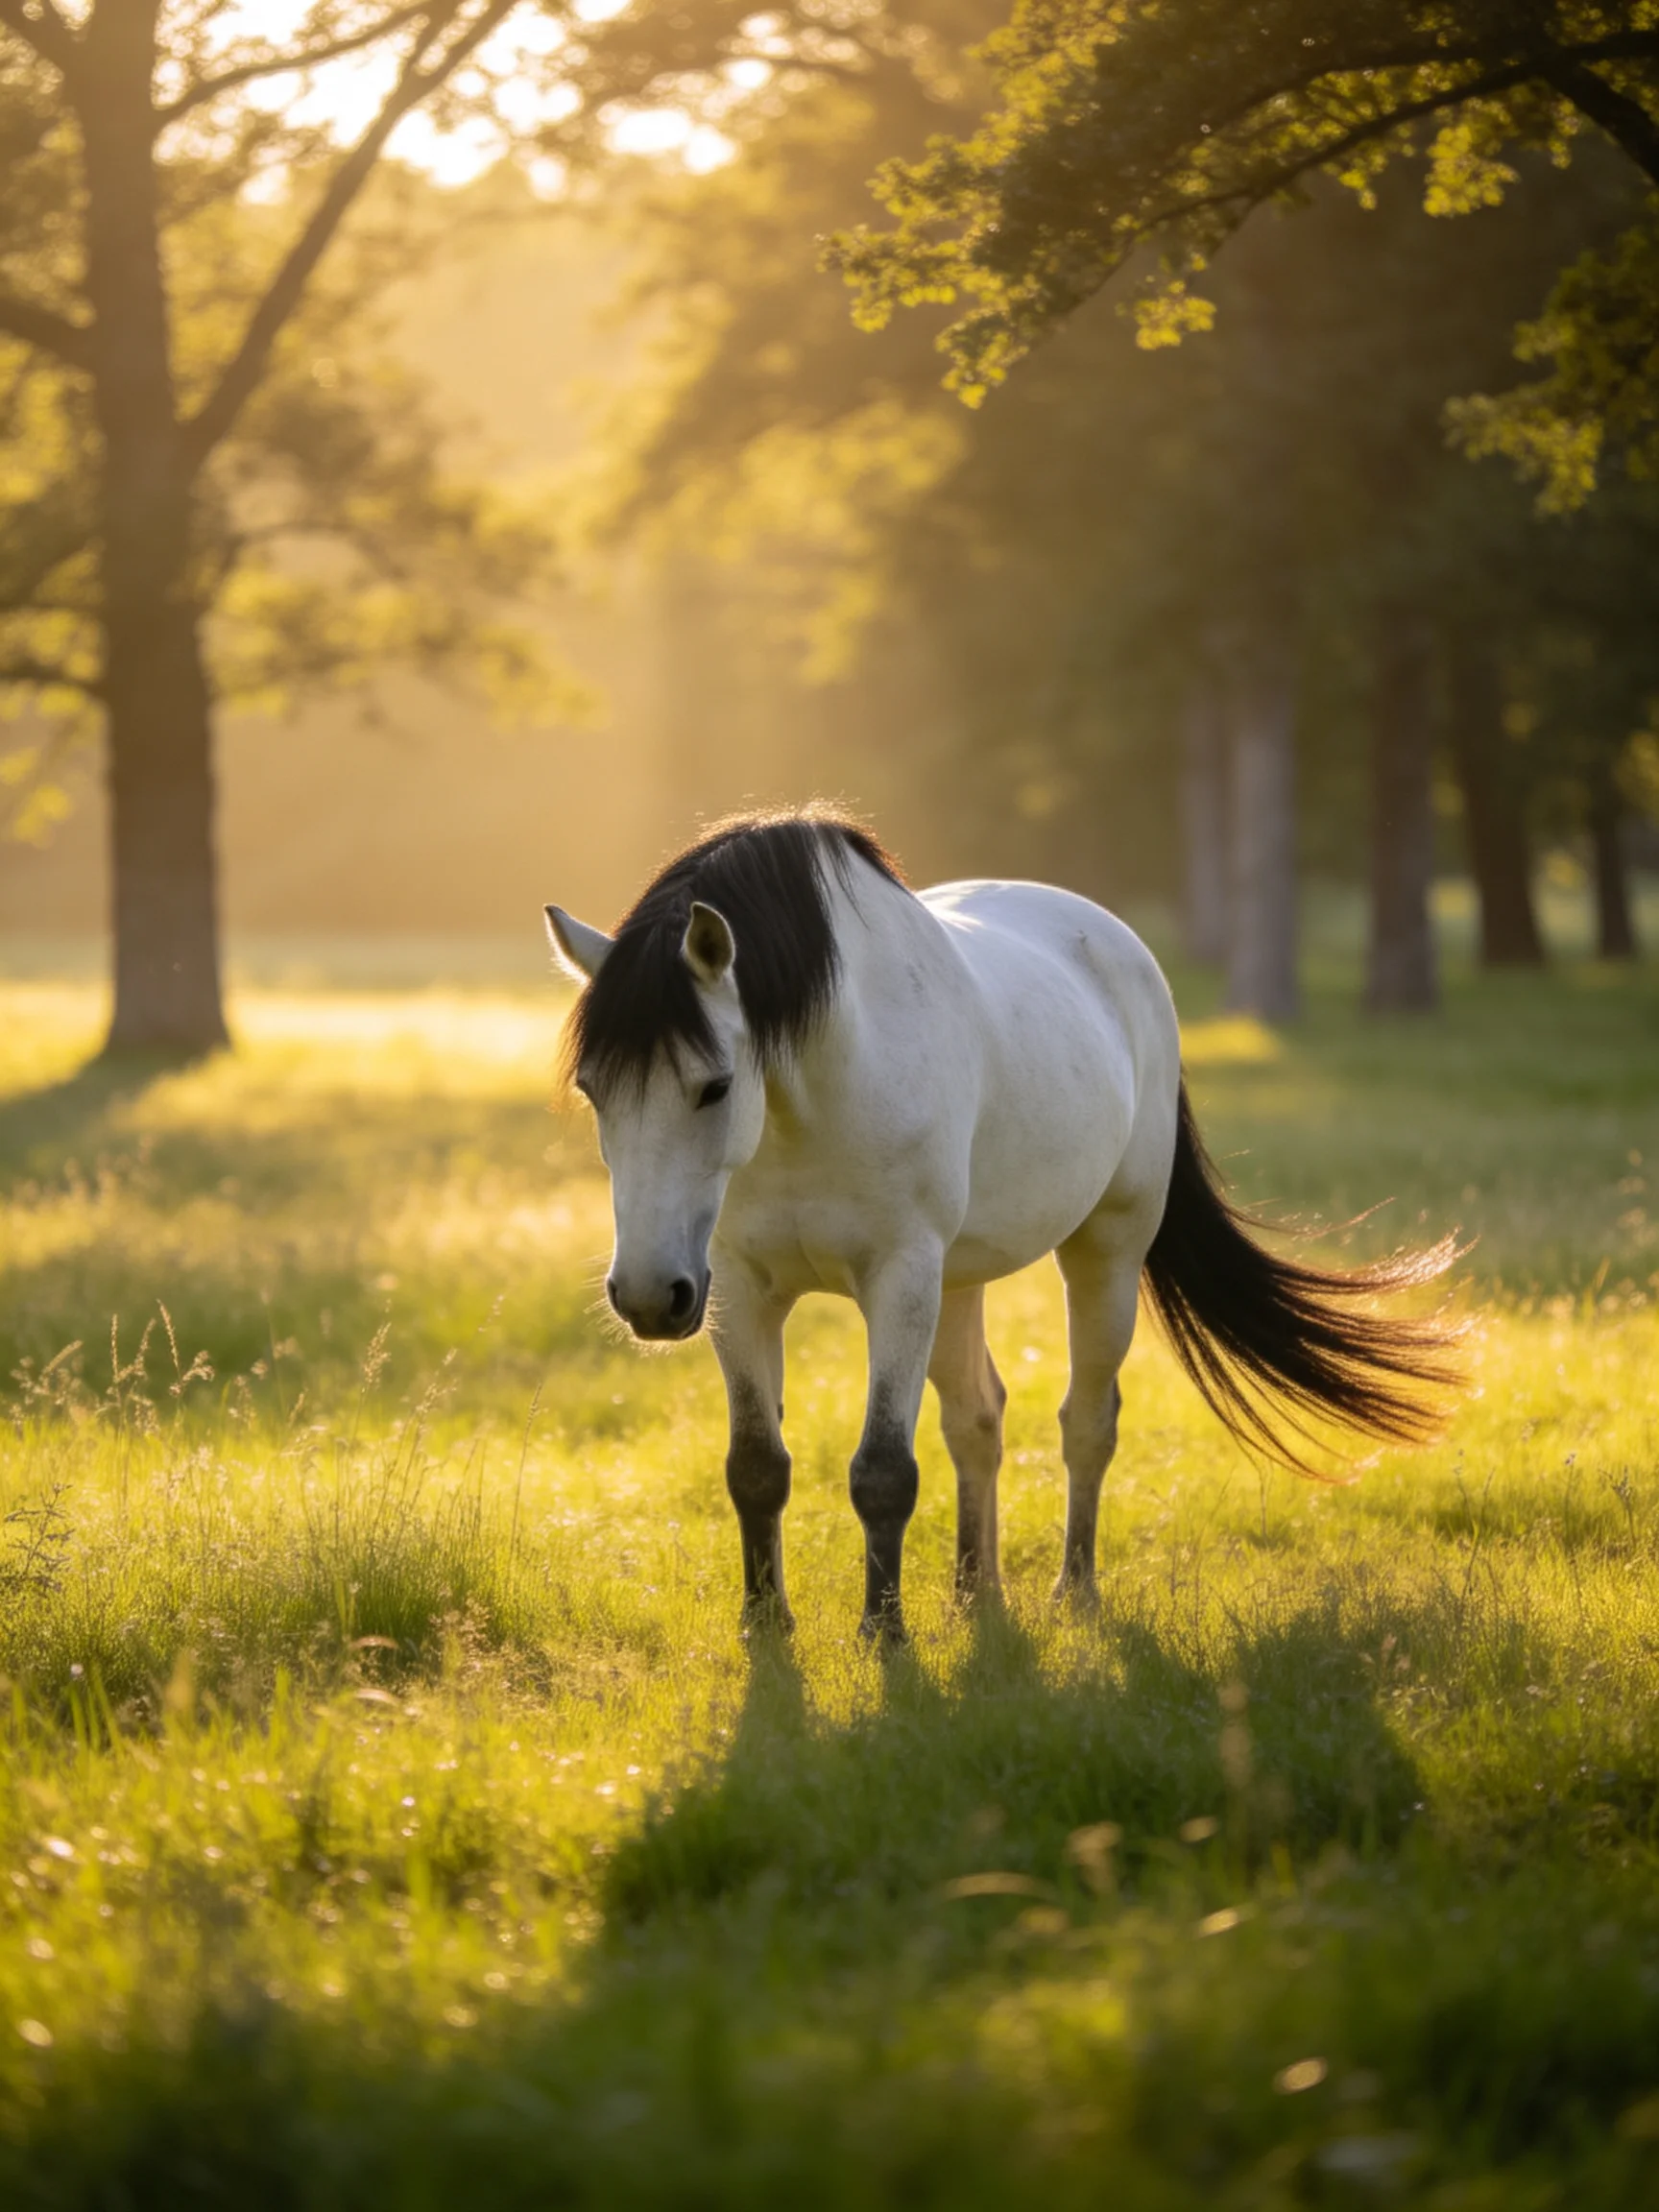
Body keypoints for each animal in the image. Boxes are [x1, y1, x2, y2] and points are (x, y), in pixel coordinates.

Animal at [546, 809, 1457, 1642]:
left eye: (715, 1086)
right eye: (593, 1089)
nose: (646, 1297)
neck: (820, 1089)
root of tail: (1116, 943)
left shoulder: (900, 1279)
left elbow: (883, 1470)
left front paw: (884, 1635)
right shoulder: (737, 1286)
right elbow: (757, 1467)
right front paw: (766, 1628)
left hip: (1104, 1253)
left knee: (1086, 1422)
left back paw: (1072, 1594)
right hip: (957, 1283)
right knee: (976, 1421)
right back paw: (974, 1596)